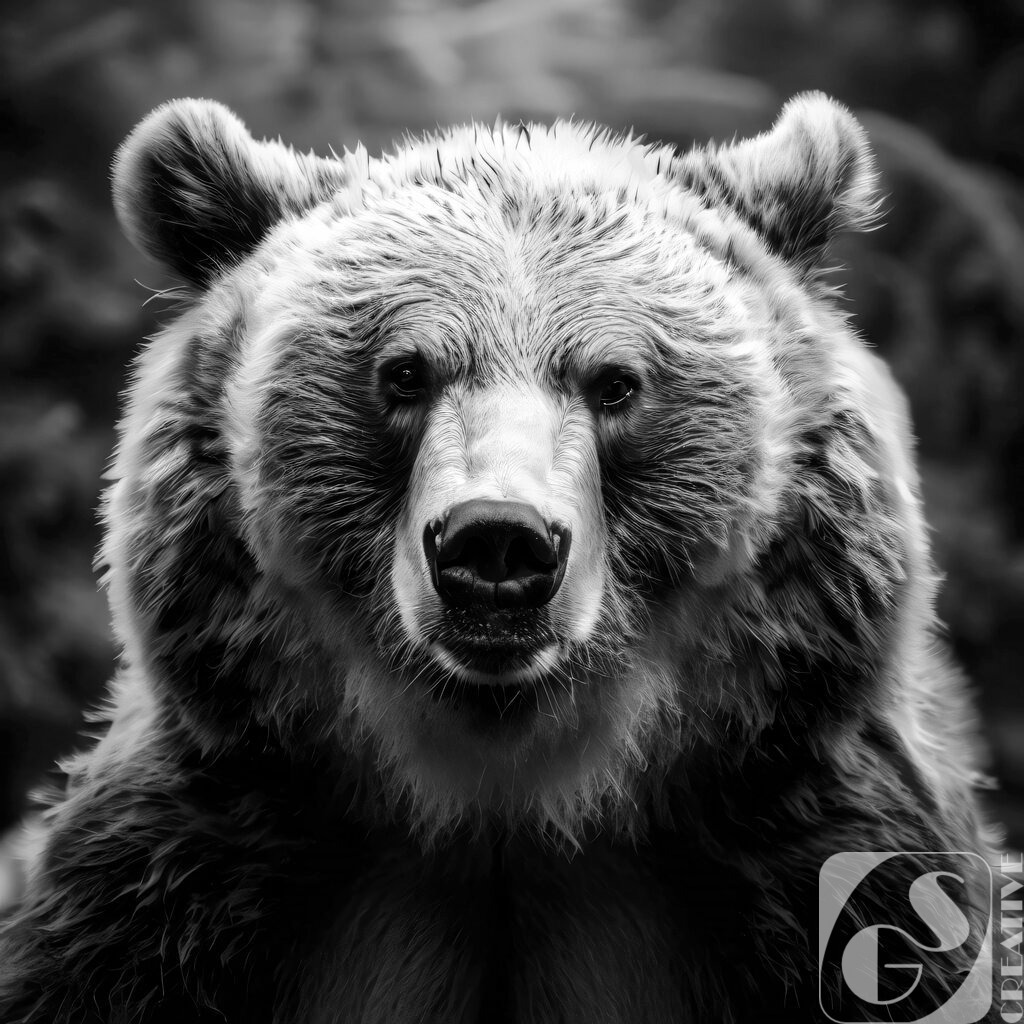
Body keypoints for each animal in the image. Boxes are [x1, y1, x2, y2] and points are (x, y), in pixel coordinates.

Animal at [0, 94, 999, 1023]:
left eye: (616, 382)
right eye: (404, 371)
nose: (497, 540)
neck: (506, 802)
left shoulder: (825, 859)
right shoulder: (178, 879)